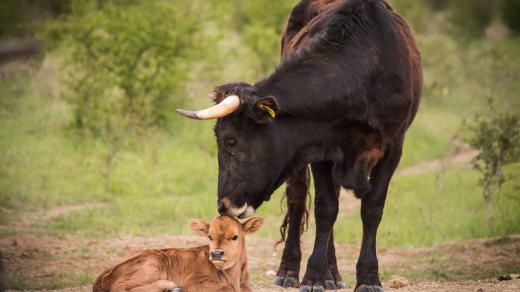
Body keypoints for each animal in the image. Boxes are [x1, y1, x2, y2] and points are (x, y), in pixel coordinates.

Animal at [92, 216, 264, 290]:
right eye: (210, 236)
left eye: (235, 236)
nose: (216, 254)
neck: (232, 275)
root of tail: (105, 273)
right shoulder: (195, 282)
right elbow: (226, 289)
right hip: (151, 265)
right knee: (119, 288)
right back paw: (169, 286)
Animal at [178, 0, 422, 292]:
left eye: (230, 141)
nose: (224, 205)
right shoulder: (320, 147)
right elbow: (325, 209)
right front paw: (314, 276)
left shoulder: (393, 146)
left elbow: (372, 208)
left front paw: (368, 277)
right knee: (299, 200)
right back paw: (293, 270)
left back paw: (333, 274)